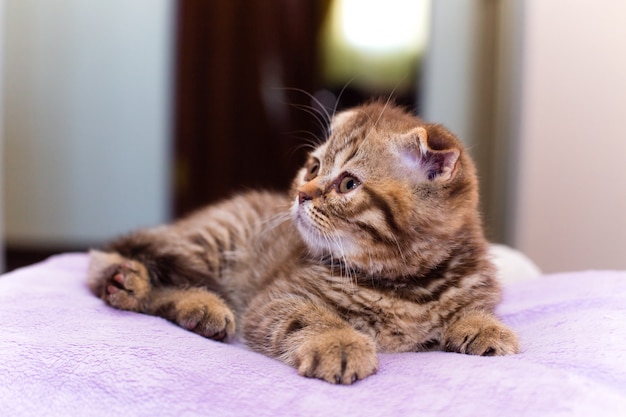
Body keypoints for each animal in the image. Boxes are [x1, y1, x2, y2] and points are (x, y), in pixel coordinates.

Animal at [88, 100, 516, 384]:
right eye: (313, 167)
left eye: (348, 184)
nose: (301, 193)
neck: (406, 284)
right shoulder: (277, 297)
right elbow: (309, 316)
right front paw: (338, 343)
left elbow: (470, 307)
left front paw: (486, 326)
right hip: (211, 240)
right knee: (103, 261)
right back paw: (154, 290)